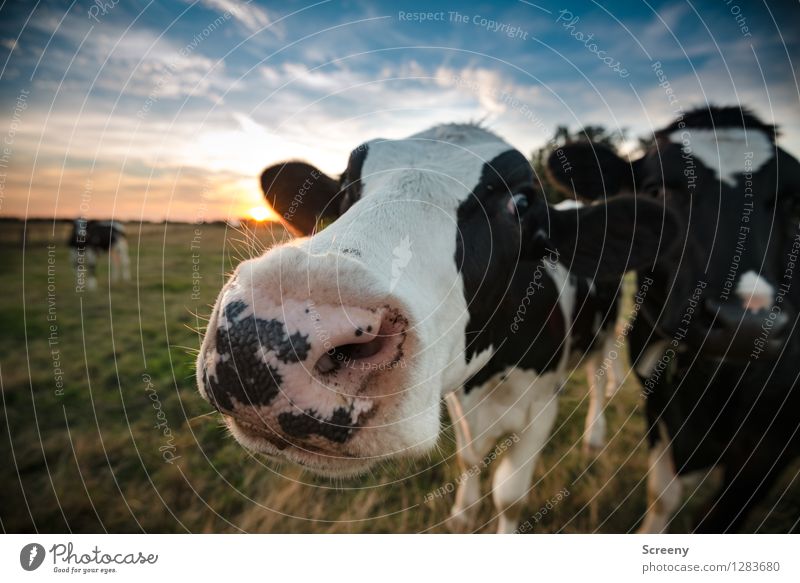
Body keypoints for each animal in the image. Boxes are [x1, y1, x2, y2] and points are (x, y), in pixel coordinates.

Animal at [197, 123, 680, 532]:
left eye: (521, 203)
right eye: (348, 185)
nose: (270, 332)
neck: (490, 380)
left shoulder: (542, 406)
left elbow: (510, 498)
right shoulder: (460, 403)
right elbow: (468, 460)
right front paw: (463, 513)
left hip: (606, 324)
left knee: (599, 371)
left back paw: (595, 434)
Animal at [548, 106, 800, 532]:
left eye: (789, 202)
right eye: (656, 192)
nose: (745, 324)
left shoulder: (773, 443)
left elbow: (719, 519)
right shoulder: (658, 403)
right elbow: (661, 497)